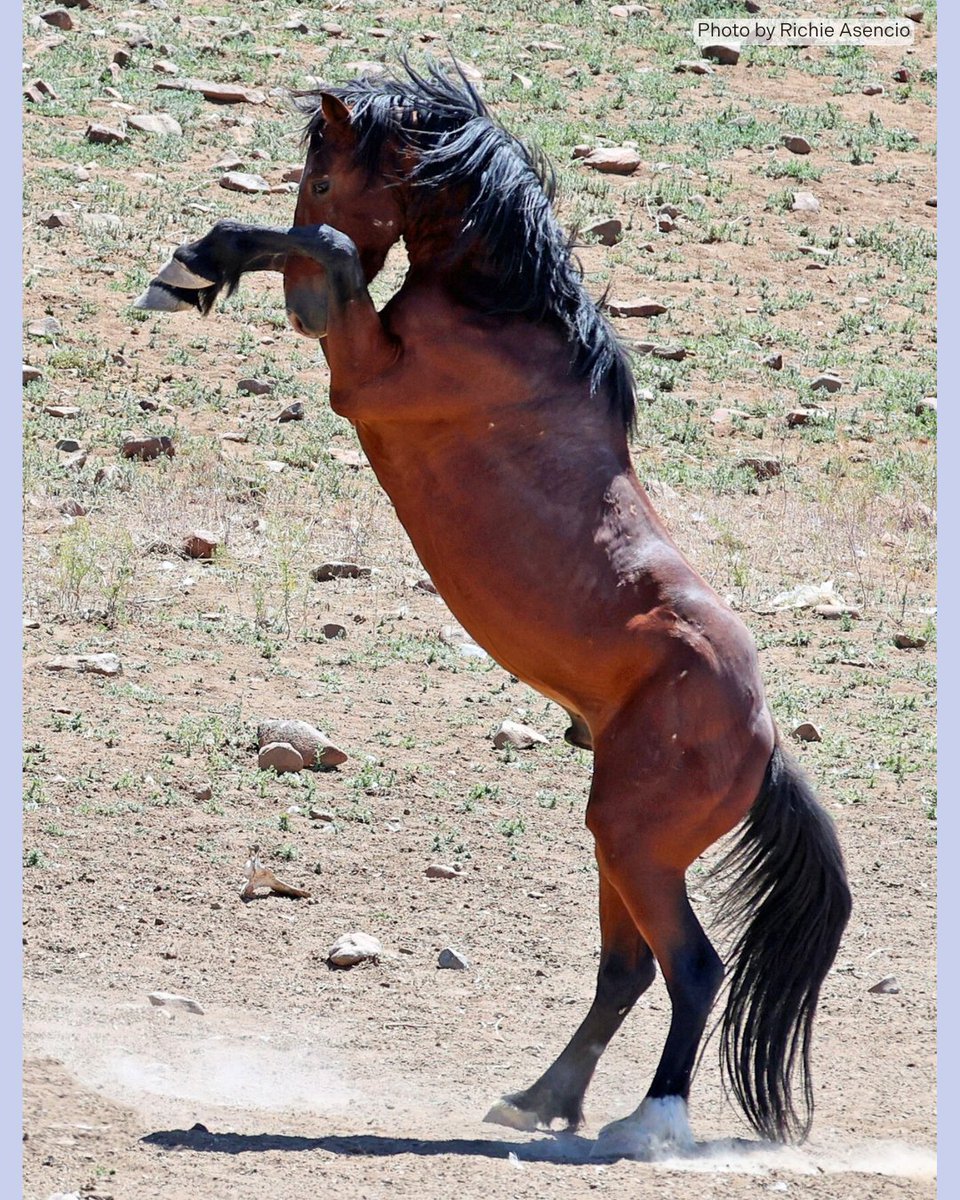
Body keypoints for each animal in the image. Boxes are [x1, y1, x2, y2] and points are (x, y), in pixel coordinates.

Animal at [136, 63, 852, 1159]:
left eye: (322, 173)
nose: (301, 317)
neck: (503, 316)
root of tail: (765, 738)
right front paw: (194, 272)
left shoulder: (364, 374)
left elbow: (333, 248)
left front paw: (195, 267)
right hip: (622, 845)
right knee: (627, 970)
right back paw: (539, 1100)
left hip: (634, 846)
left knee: (691, 968)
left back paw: (648, 1123)